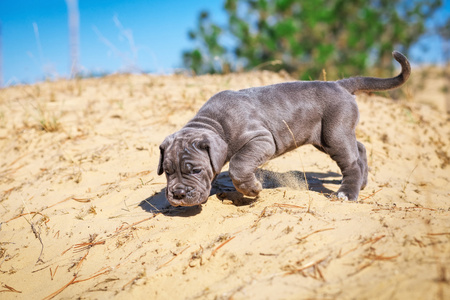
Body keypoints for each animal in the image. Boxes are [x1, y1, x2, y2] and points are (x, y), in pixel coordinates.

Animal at [159, 51, 412, 206]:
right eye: (168, 171)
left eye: (196, 171)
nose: (178, 194)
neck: (214, 123)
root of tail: (339, 84)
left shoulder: (261, 139)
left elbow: (238, 165)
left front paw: (252, 189)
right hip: (327, 136)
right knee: (359, 149)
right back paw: (363, 183)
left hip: (334, 135)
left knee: (351, 162)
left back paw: (347, 193)